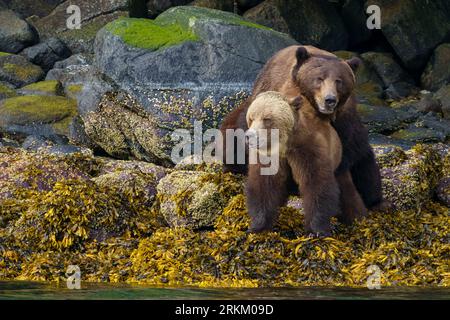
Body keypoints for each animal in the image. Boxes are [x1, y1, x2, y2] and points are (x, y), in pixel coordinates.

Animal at [220, 45, 384, 234]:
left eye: (339, 81)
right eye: (319, 79)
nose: (330, 100)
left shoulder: (344, 120)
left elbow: (352, 152)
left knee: (365, 166)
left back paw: (375, 202)